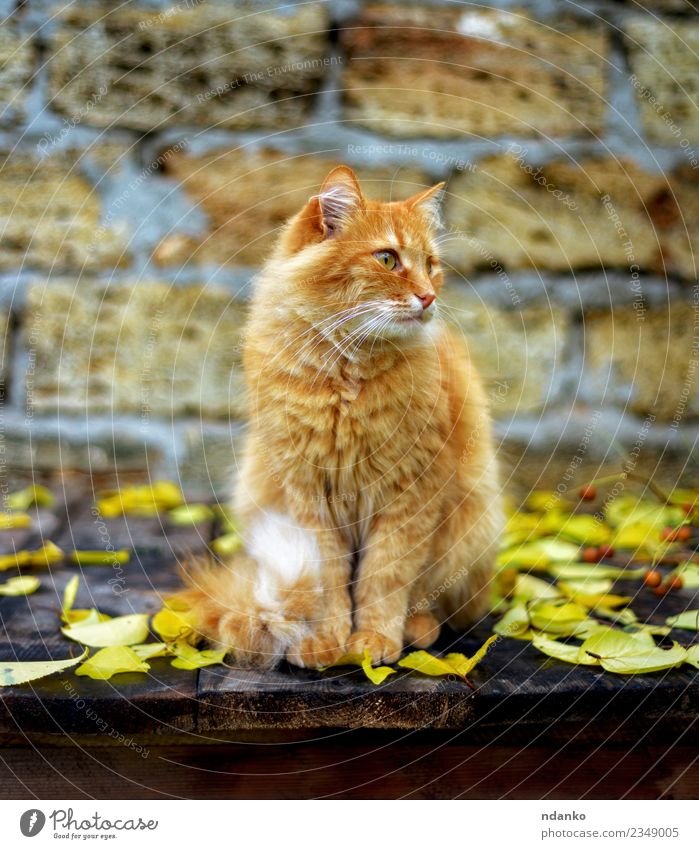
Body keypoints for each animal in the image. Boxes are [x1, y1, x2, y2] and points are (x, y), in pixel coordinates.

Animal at [185, 166, 504, 668]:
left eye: (430, 264)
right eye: (388, 259)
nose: (428, 296)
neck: (346, 373)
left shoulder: (409, 497)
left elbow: (384, 578)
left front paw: (372, 640)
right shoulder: (309, 500)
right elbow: (330, 584)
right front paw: (326, 642)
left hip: (473, 525)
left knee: (435, 602)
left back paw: (417, 630)